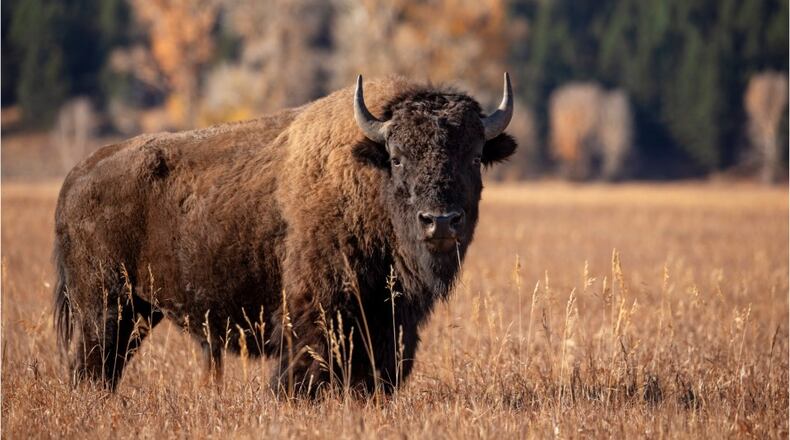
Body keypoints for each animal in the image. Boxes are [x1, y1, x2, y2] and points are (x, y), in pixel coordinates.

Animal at [54, 74, 516, 396]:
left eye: (475, 156)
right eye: (399, 158)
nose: (440, 221)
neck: (366, 175)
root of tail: (76, 175)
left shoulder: (389, 321)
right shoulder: (315, 312)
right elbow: (303, 371)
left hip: (138, 312)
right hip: (105, 308)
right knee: (92, 367)